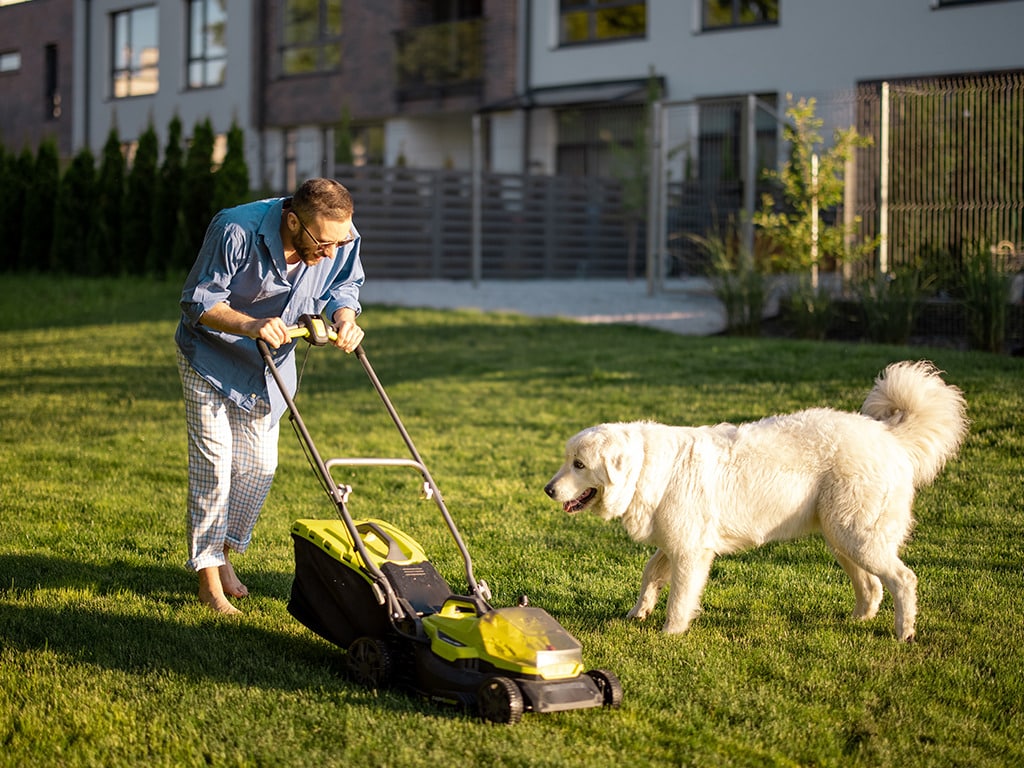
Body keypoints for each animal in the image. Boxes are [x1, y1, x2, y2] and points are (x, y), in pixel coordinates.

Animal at [544, 360, 966, 643]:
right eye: (567, 460)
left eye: (579, 465)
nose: (548, 489)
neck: (649, 469)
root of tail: (888, 435)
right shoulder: (674, 542)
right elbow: (650, 574)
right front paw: (638, 613)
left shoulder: (690, 552)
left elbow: (680, 596)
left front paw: (670, 634)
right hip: (842, 537)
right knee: (872, 585)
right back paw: (857, 620)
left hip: (857, 536)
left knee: (903, 579)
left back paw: (904, 633)